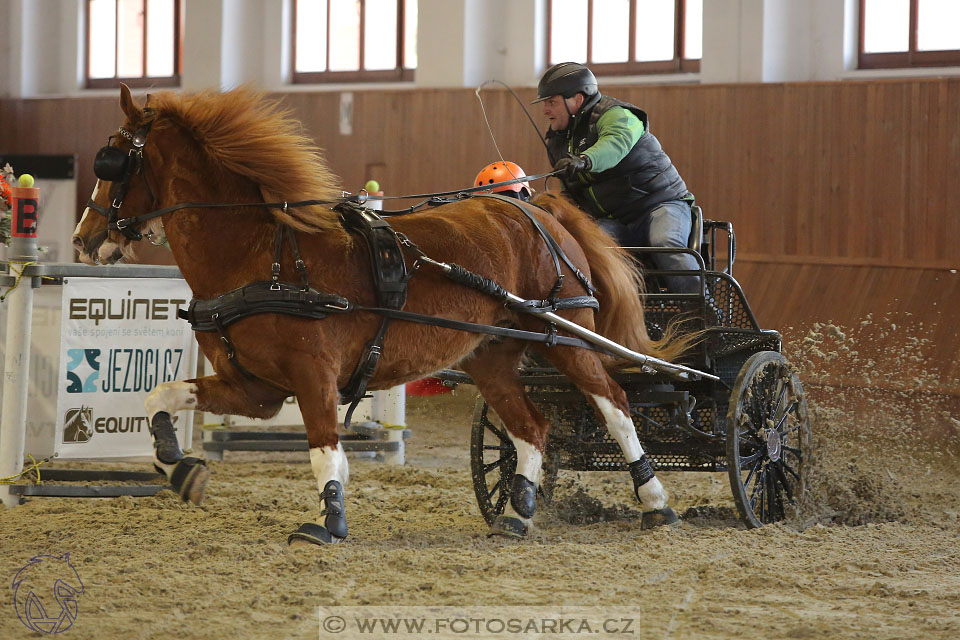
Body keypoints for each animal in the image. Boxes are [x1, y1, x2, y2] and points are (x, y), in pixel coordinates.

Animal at [75, 85, 688, 544]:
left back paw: (655, 502)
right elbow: (160, 397)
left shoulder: (313, 376)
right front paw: (179, 467)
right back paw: (516, 514)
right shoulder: (255, 388)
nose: (84, 238)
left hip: (569, 337)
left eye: (113, 159)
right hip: (490, 355)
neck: (262, 253)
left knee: (615, 406)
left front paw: (327, 523)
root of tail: (539, 211)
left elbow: (326, 452)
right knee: (532, 428)